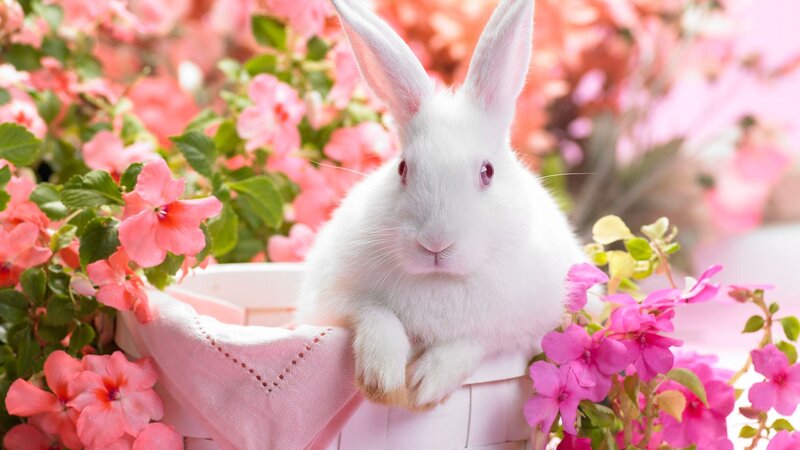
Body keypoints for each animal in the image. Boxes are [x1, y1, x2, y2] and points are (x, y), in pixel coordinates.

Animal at [295, 0, 586, 410]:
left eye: (487, 172)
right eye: (402, 168)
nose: (434, 243)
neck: (440, 280)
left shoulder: (522, 325)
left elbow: (472, 341)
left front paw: (424, 385)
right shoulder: (335, 299)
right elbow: (376, 314)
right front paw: (383, 380)